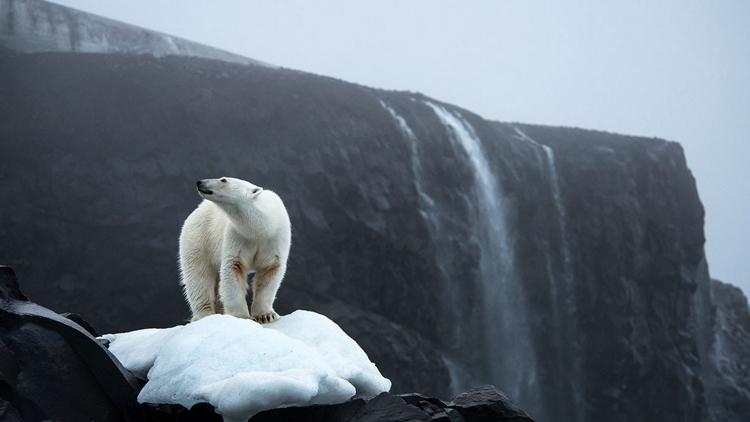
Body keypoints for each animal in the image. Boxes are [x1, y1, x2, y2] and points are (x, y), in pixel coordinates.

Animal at [178, 177, 290, 324]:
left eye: (223, 180)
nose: (200, 182)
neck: (262, 227)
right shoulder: (237, 236)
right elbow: (233, 268)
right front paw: (241, 317)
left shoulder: (275, 238)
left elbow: (270, 270)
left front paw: (266, 315)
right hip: (198, 239)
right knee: (198, 278)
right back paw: (205, 315)